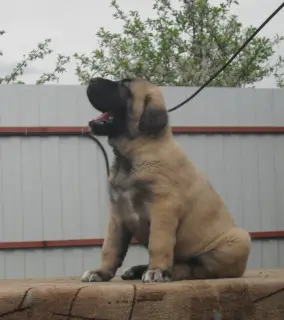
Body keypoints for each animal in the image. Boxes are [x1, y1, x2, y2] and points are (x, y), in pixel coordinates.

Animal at [81, 77, 252, 282]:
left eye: (124, 85)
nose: (92, 80)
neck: (135, 151)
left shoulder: (163, 207)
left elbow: (158, 242)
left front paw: (157, 270)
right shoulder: (117, 214)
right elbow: (111, 247)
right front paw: (100, 272)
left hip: (239, 238)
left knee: (198, 267)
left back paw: (168, 271)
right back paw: (139, 270)